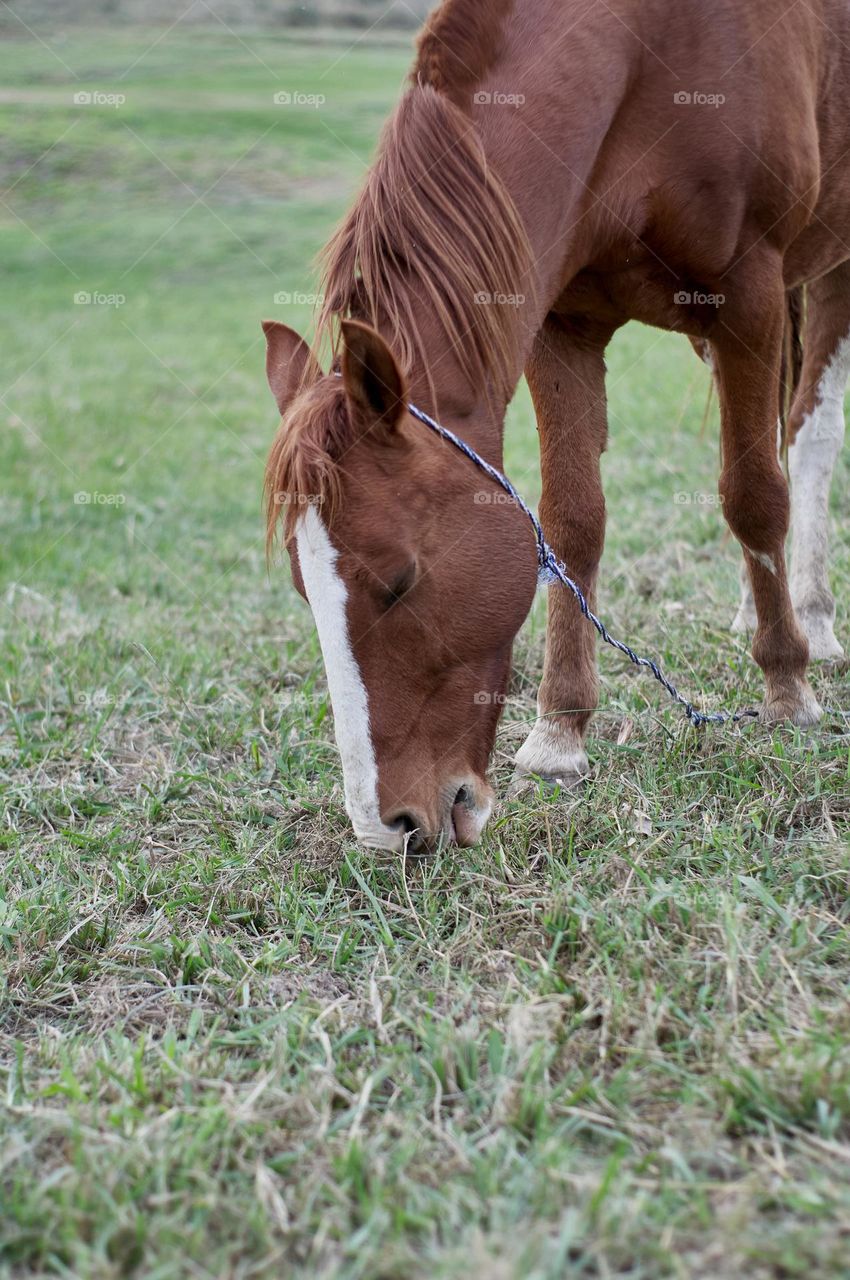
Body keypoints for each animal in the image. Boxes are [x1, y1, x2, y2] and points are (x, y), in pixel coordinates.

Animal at [263, 0, 848, 853]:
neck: (646, 51)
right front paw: (561, 732)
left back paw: (812, 619)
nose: (388, 829)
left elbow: (752, 495)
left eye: (399, 582)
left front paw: (786, 688)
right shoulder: (561, 324)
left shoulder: (749, 293)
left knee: (807, 440)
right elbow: (574, 521)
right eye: (304, 590)